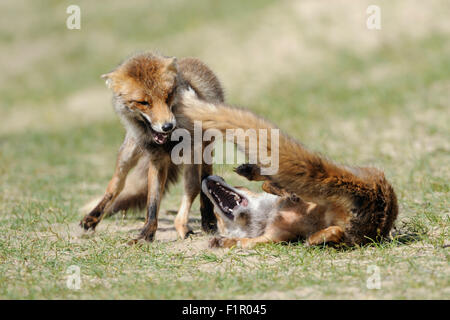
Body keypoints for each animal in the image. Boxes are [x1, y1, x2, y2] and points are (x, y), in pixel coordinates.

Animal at [80, 52, 224, 242]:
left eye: (168, 96)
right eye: (143, 102)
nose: (167, 126)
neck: (171, 140)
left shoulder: (194, 151)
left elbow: (192, 188)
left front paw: (182, 225)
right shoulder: (157, 159)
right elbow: (153, 201)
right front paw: (147, 233)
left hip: (206, 154)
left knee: (205, 183)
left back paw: (208, 222)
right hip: (128, 154)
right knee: (116, 185)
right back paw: (93, 217)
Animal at [178, 89, 400, 249]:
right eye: (218, 217)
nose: (204, 180)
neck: (267, 216)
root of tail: (379, 202)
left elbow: (272, 187)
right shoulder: (272, 237)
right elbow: (246, 243)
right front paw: (224, 242)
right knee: (337, 232)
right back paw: (319, 237)